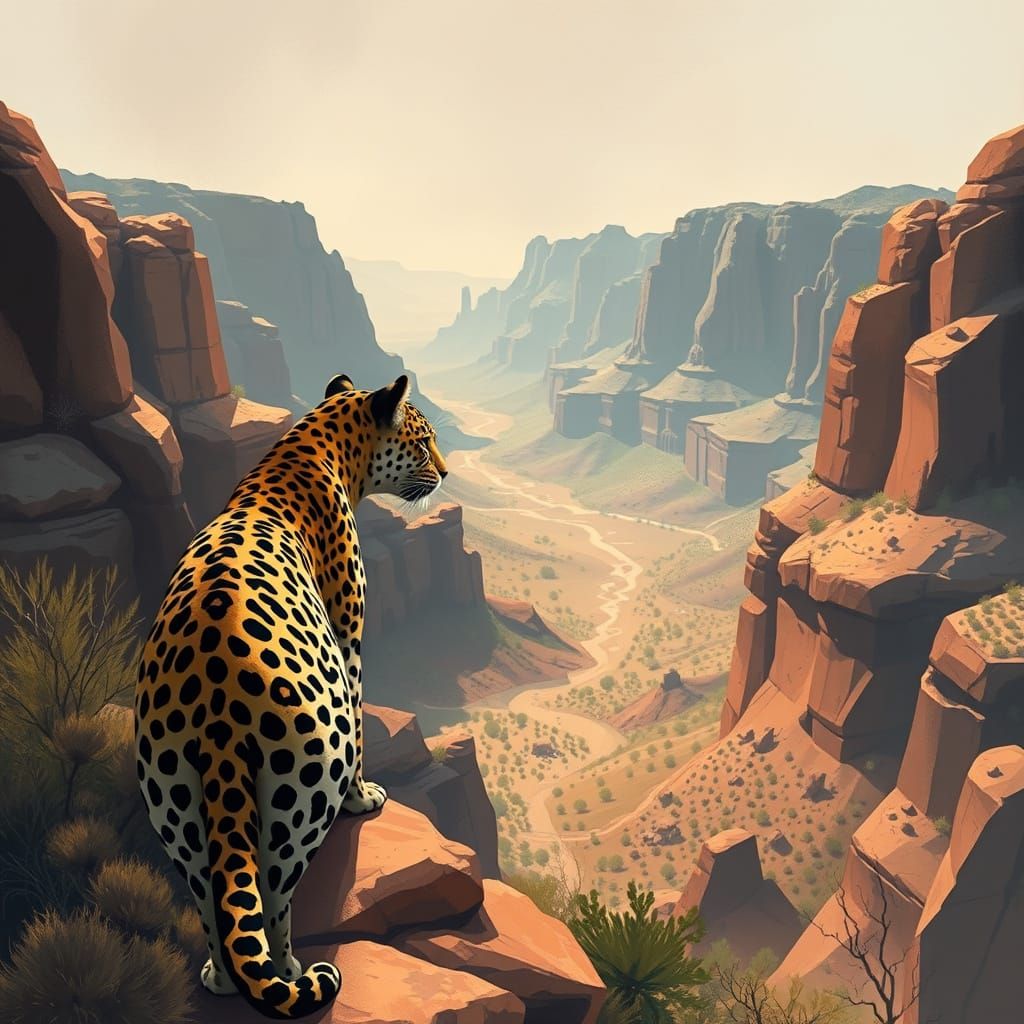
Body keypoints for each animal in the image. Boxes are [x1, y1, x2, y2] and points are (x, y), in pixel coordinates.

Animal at [134, 373, 447, 1019]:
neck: (323, 444)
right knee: (275, 889)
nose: (447, 471)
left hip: (171, 800)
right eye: (422, 438)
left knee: (209, 893)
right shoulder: (349, 635)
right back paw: (291, 968)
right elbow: (359, 717)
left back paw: (220, 977)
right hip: (301, 788)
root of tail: (217, 710)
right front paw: (365, 797)